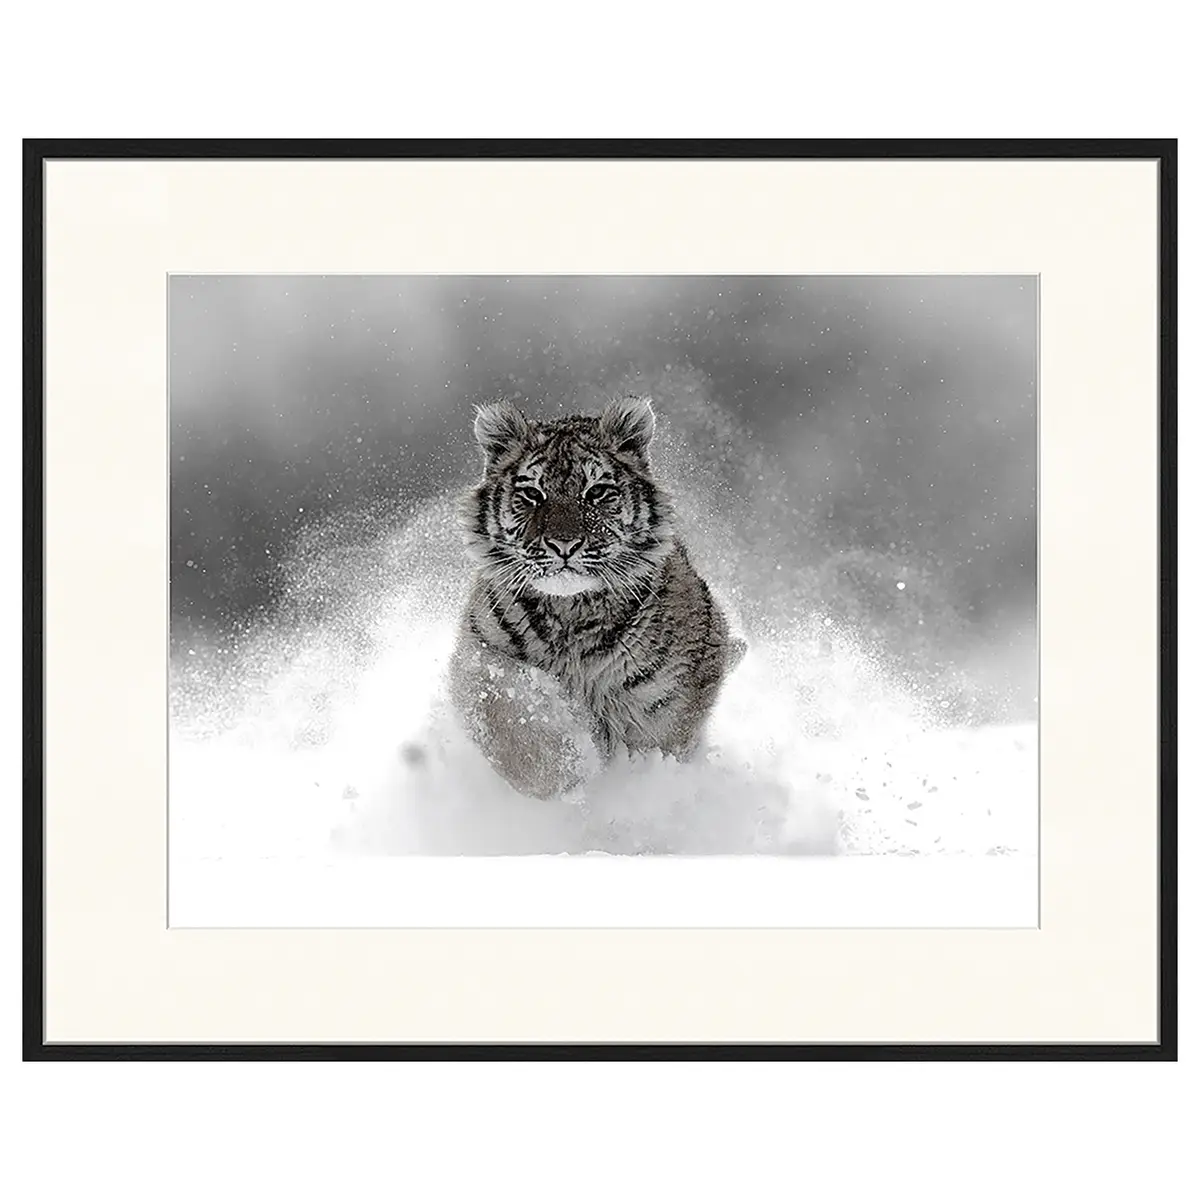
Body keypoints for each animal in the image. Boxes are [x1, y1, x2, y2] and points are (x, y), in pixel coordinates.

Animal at [446, 394, 746, 800]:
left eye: (596, 492)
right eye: (532, 494)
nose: (563, 544)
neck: (571, 612)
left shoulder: (668, 699)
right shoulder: (478, 656)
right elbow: (511, 711)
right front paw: (567, 767)